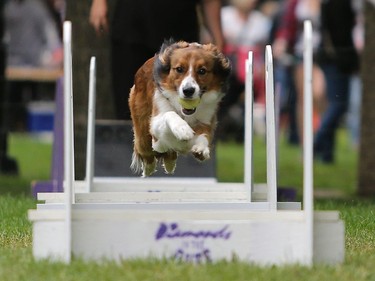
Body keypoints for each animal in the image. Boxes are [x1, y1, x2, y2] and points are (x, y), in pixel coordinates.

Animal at [129, 40, 232, 175]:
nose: (188, 90)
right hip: (143, 133)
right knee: (146, 152)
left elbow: (204, 135)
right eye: (179, 69)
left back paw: (170, 163)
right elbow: (169, 115)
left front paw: (201, 148)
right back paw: (148, 168)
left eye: (202, 71)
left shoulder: (206, 120)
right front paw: (183, 129)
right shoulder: (155, 126)